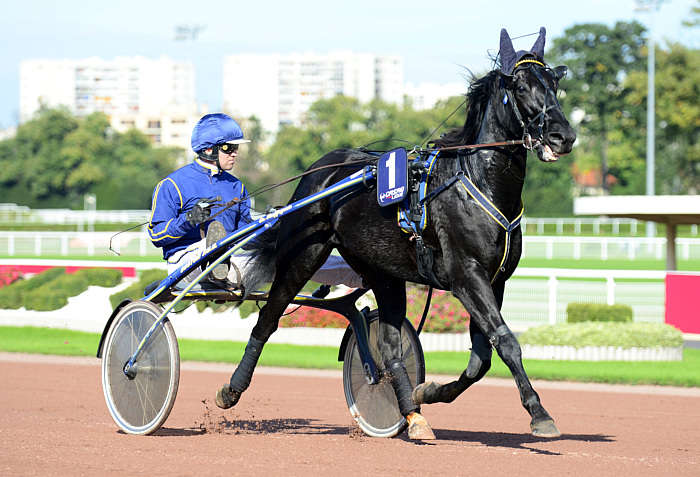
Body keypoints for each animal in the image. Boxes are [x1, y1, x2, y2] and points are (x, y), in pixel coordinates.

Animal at [215, 27, 576, 440]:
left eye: (553, 83)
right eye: (519, 86)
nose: (563, 136)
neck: (477, 181)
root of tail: (321, 168)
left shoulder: (494, 280)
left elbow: (481, 359)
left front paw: (429, 391)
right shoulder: (467, 277)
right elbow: (506, 342)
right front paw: (539, 413)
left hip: (382, 271)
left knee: (389, 349)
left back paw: (412, 414)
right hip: (301, 255)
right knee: (268, 319)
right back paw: (231, 389)